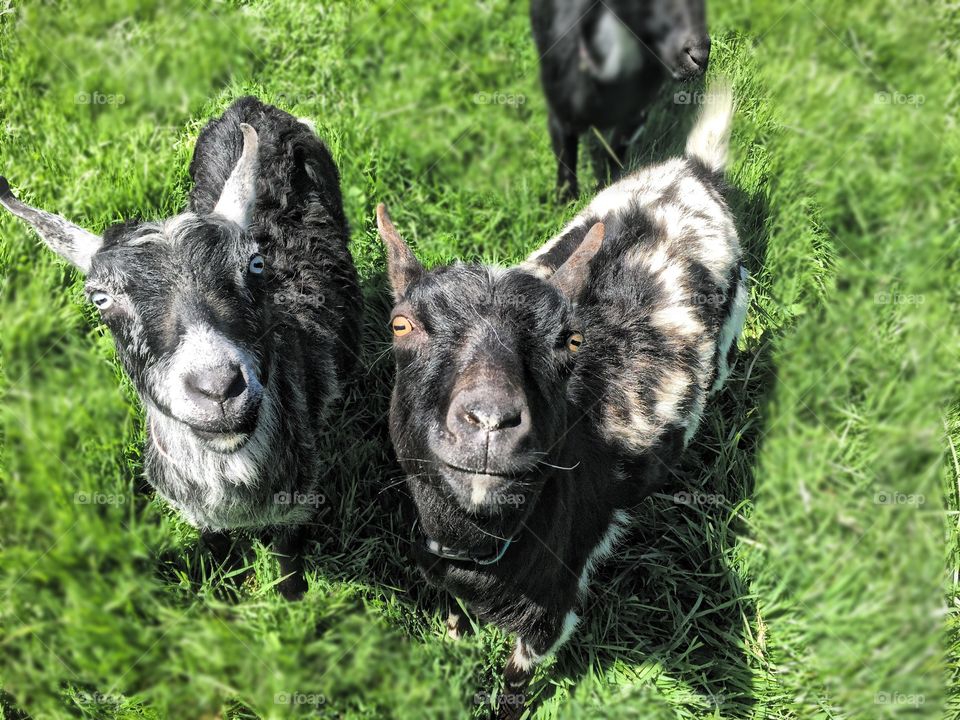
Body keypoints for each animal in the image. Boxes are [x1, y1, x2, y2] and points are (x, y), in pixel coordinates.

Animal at [532, 0, 712, 200]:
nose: (700, 56)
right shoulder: (561, 115)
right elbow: (566, 164)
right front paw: (566, 202)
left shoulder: (635, 117)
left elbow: (615, 152)